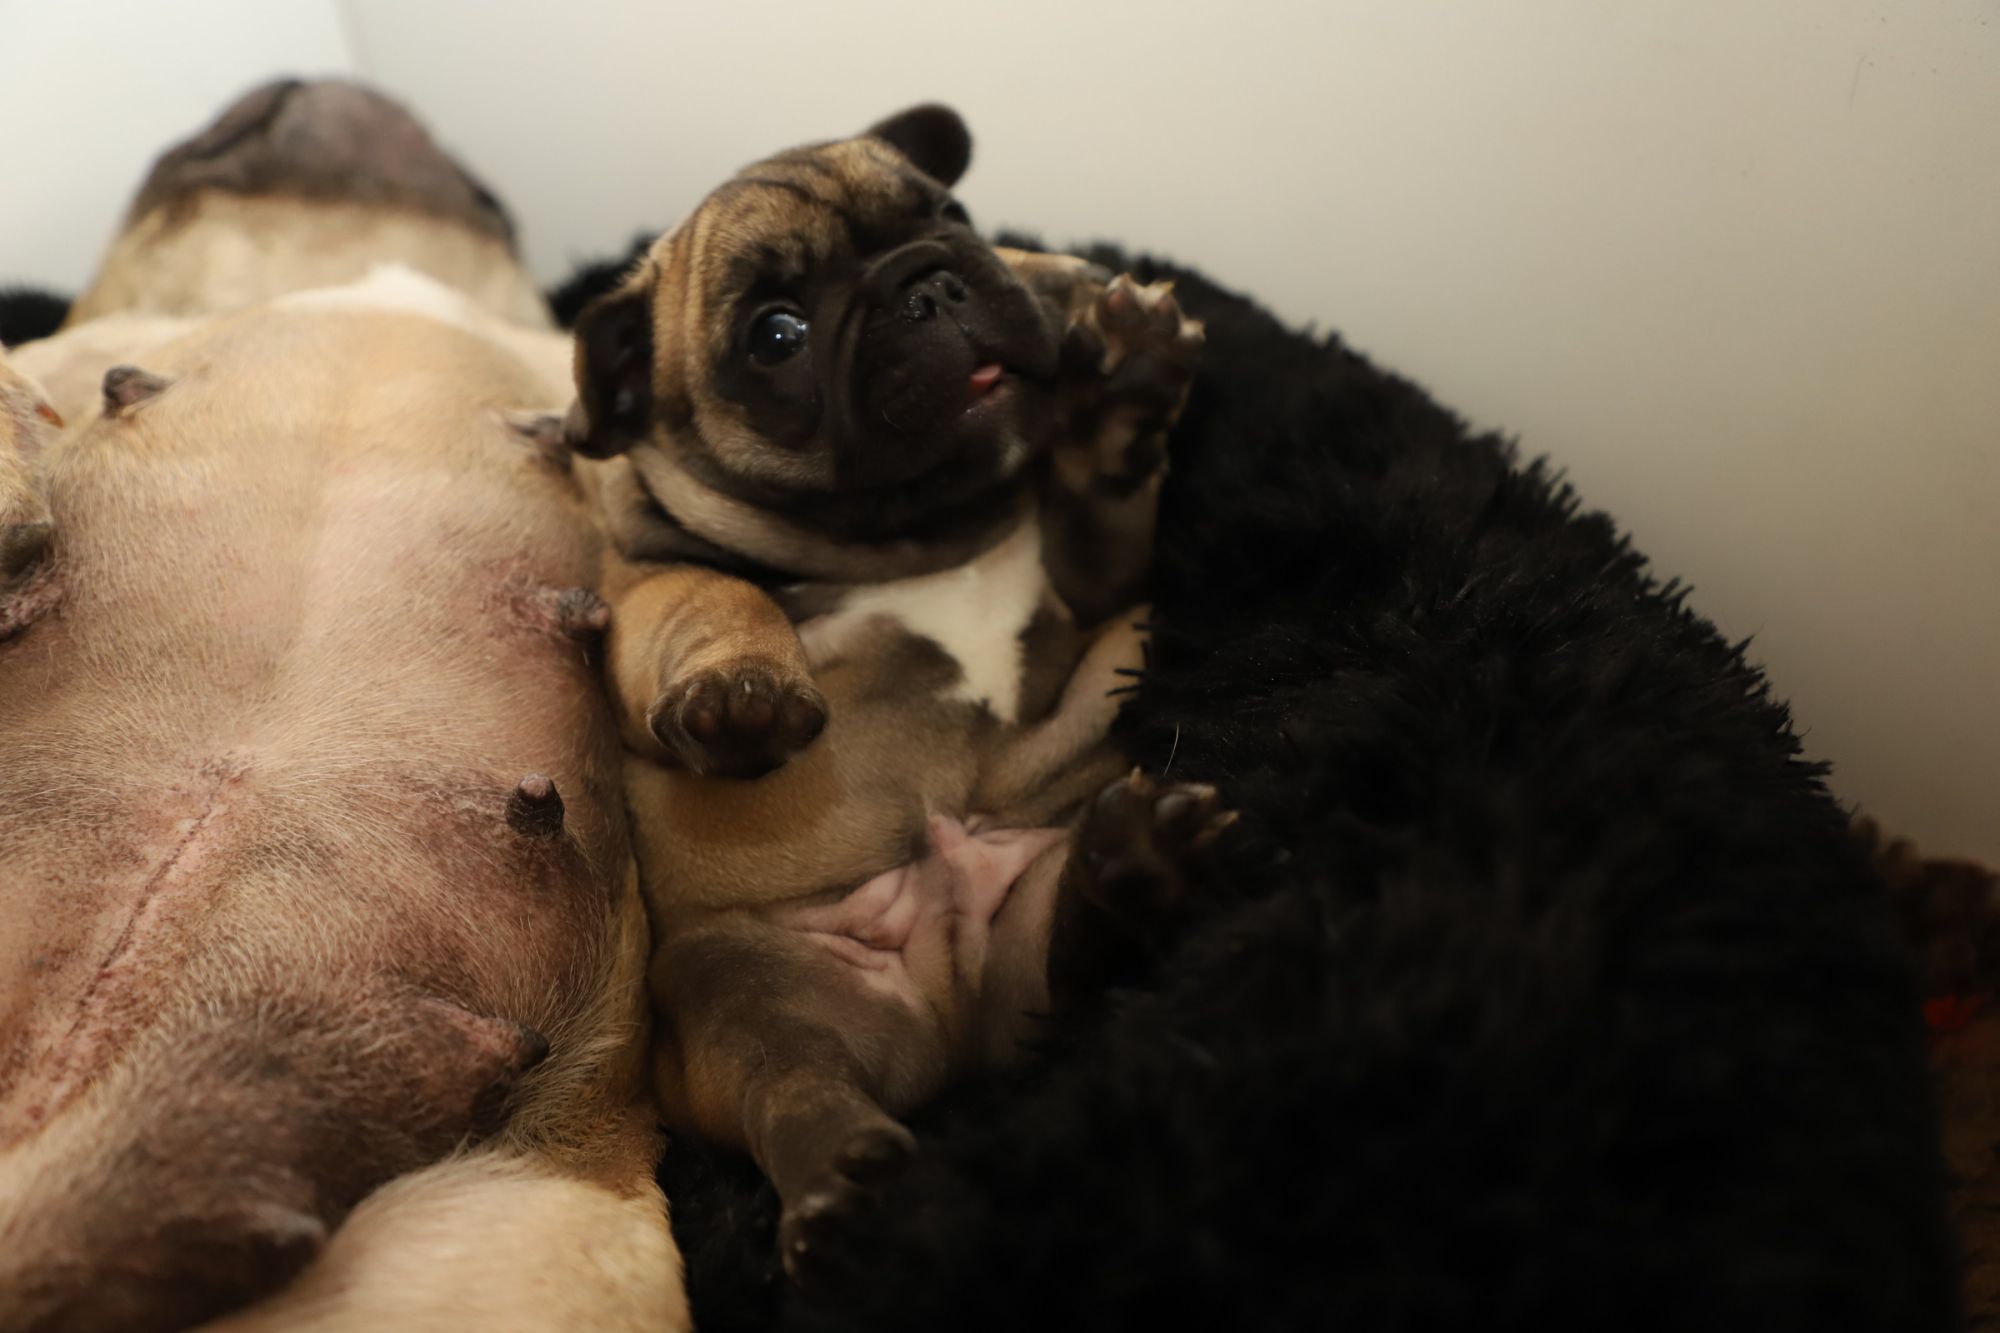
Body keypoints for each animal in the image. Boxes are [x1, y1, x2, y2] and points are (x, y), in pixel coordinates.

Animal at [562, 104, 1234, 1278]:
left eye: (946, 210)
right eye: (776, 335)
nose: (927, 283)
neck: (918, 535)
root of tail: (945, 1008)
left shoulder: (1094, 581)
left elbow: (1104, 510)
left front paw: (1123, 406)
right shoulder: (644, 586)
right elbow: (714, 597)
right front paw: (743, 689)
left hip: (1029, 919)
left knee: (1070, 976)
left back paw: (1130, 874)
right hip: (739, 992)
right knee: (792, 1082)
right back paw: (846, 1186)